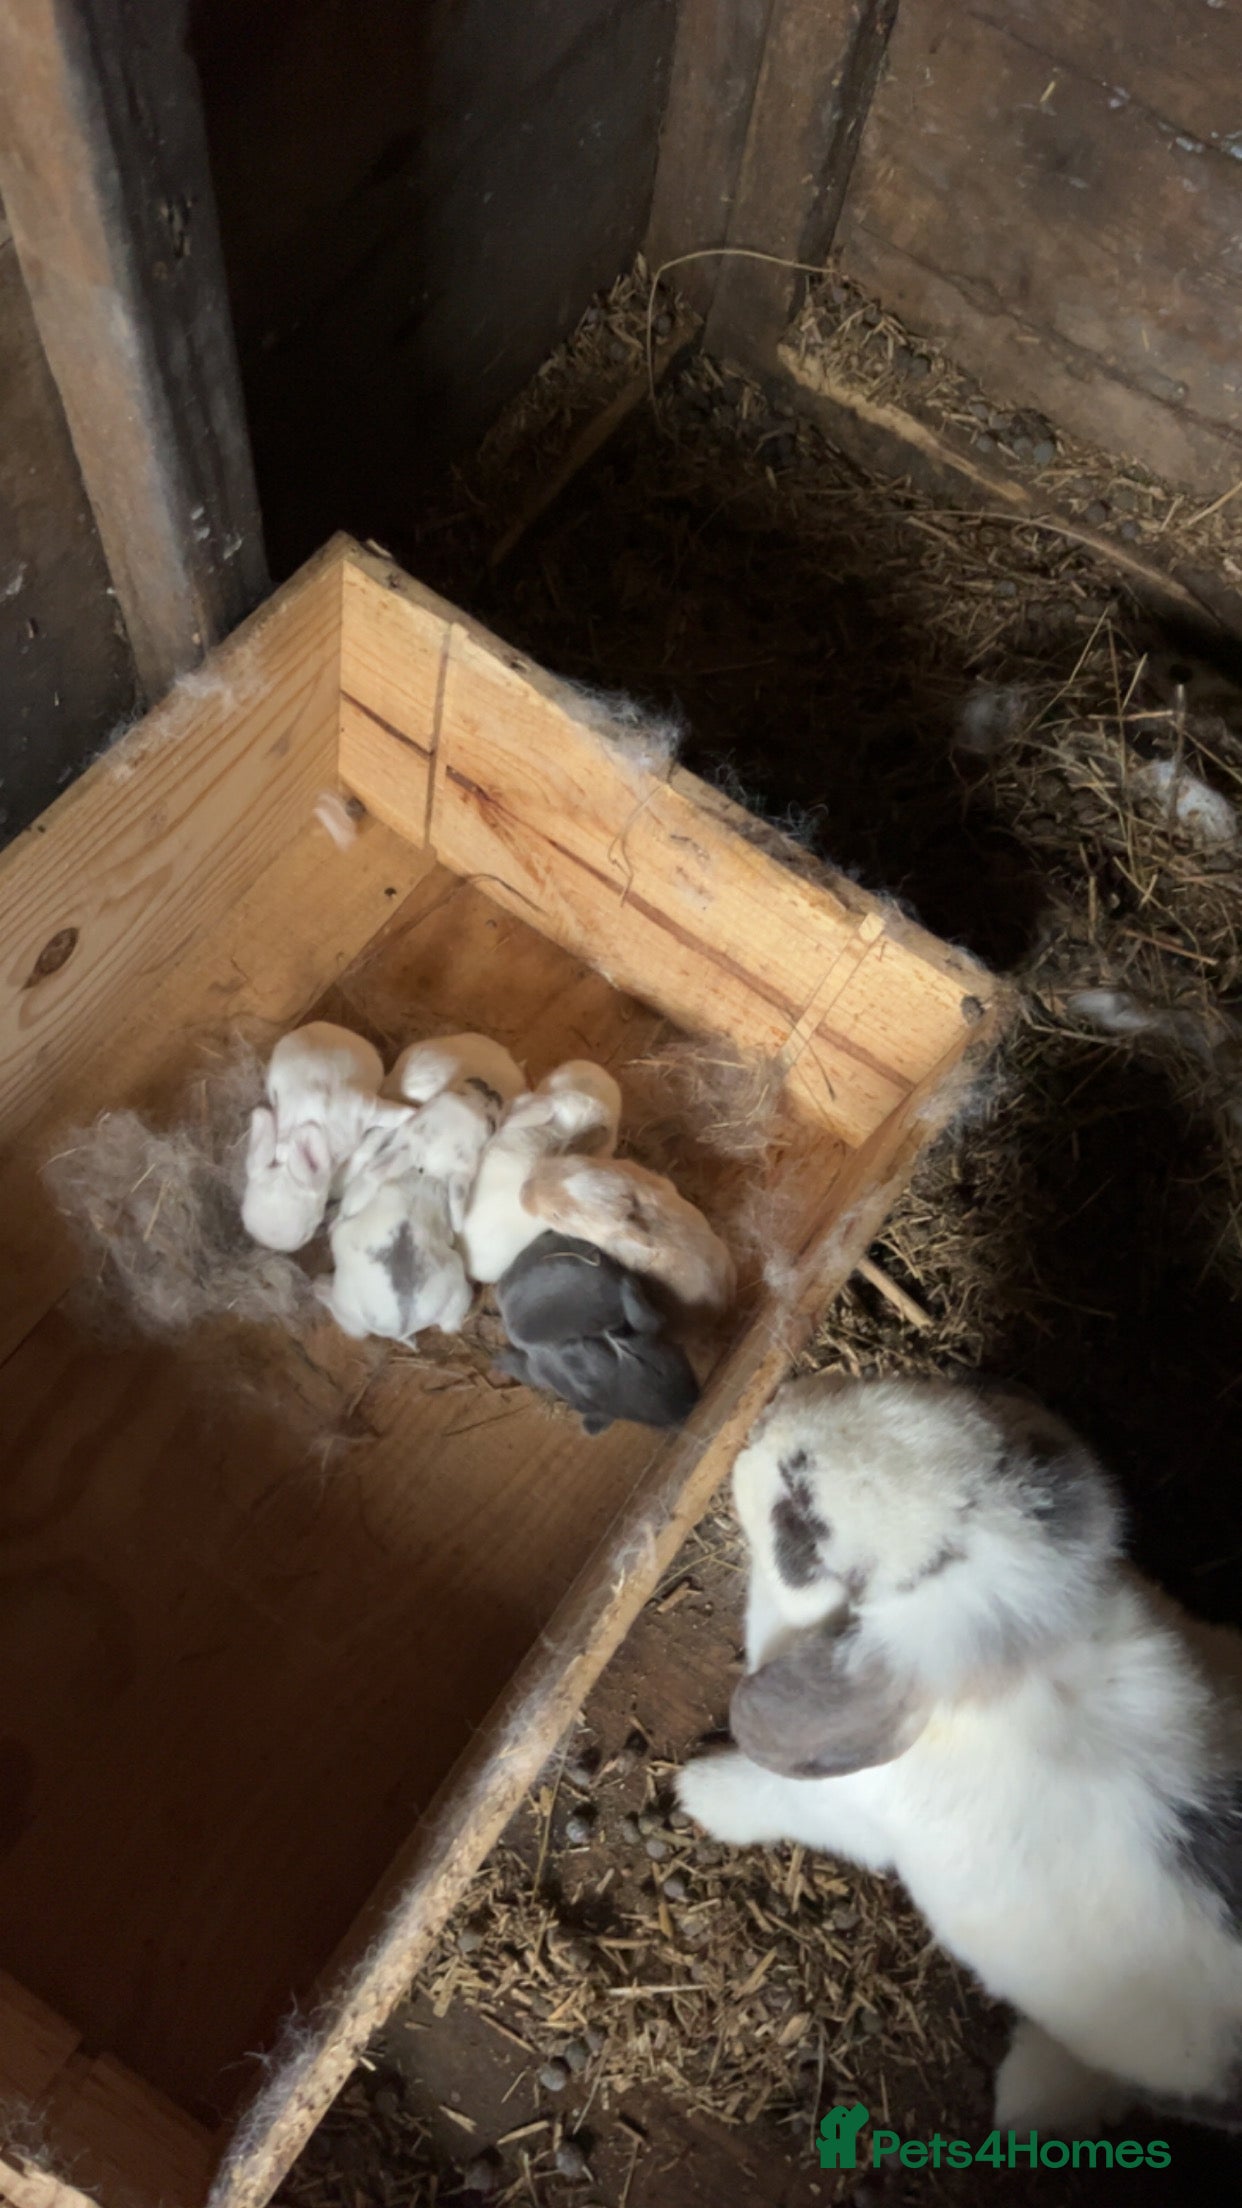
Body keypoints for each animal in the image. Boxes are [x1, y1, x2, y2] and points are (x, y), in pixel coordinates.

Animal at [315, 1120, 472, 1342]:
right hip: (460, 1297)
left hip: (347, 1312)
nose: (374, 1129)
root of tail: (401, 1329)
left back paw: (318, 1285)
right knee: (451, 1326)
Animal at [676, 1371, 1242, 2136]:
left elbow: (764, 1796)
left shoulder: (838, 1809)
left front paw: (695, 1791)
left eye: (803, 1526)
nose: (765, 1424)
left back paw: (1023, 2101)